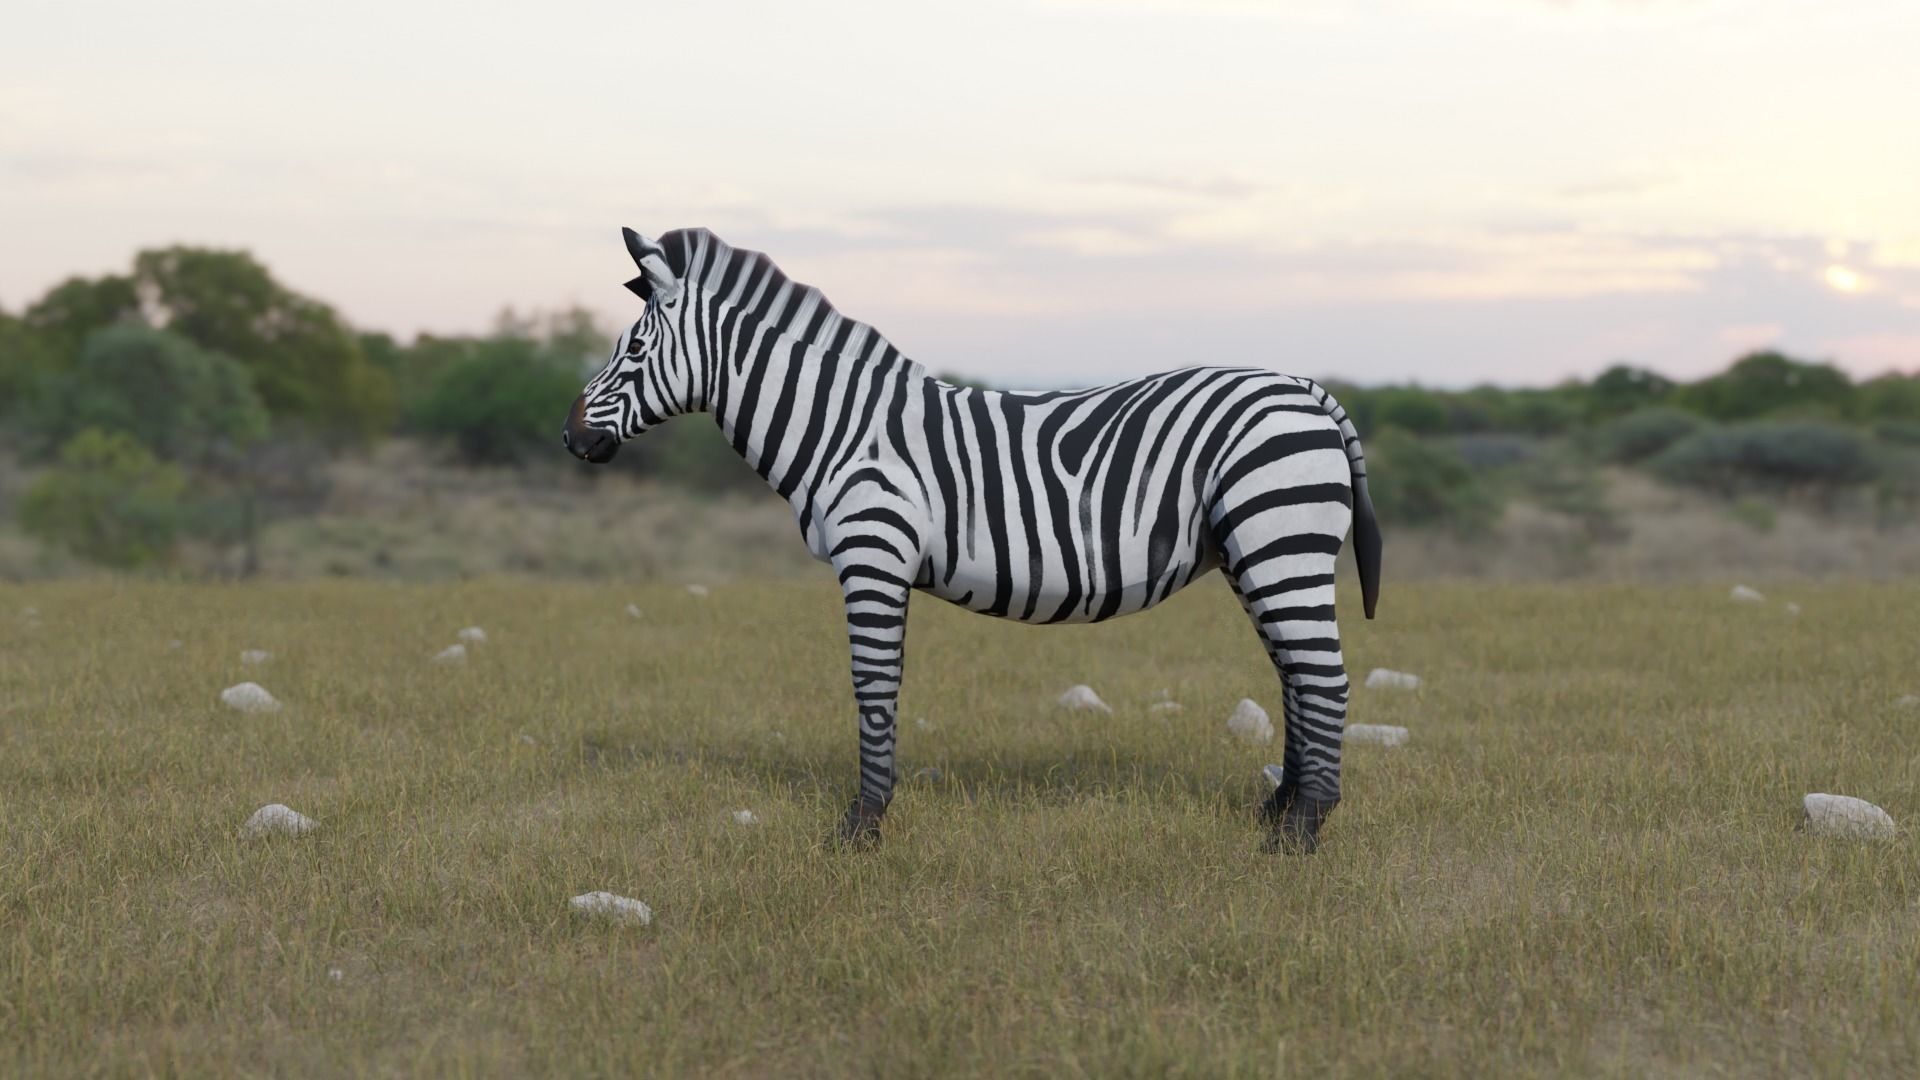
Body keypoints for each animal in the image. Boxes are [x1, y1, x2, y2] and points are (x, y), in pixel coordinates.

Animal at [563, 227, 1383, 853]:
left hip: (1280, 545)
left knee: (1325, 680)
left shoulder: (874, 554)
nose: (571, 439)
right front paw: (869, 817)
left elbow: (873, 688)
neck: (838, 427)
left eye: (631, 352)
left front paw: (861, 828)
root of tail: (1305, 388)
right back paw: (1276, 813)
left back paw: (1300, 835)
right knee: (1296, 676)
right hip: (1255, 554)